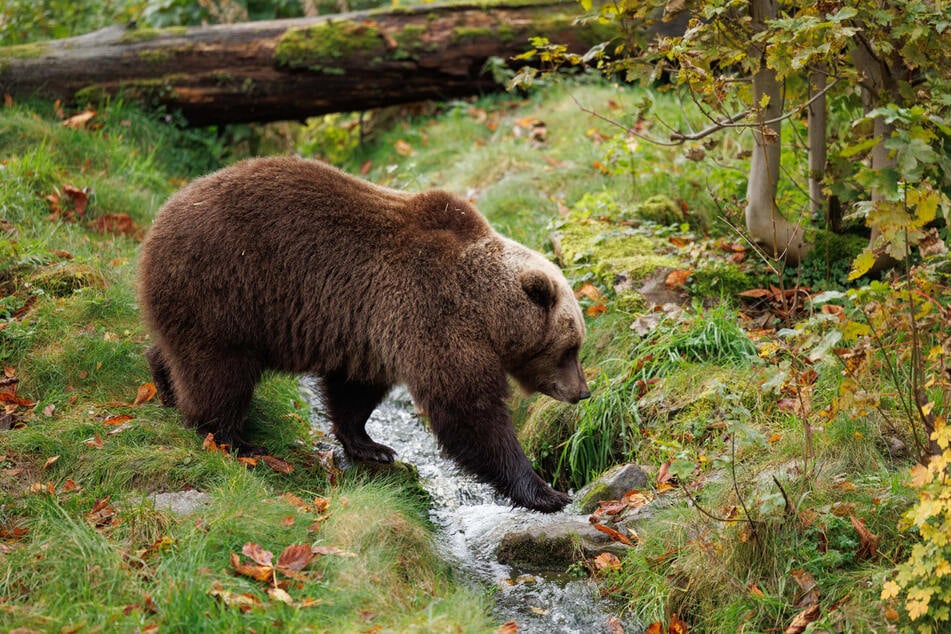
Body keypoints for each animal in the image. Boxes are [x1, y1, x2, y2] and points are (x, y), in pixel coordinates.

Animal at [139, 156, 588, 512]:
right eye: (570, 348)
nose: (582, 392)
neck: (486, 310)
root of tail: (160, 219)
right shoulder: (434, 313)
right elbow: (468, 409)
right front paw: (544, 491)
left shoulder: (372, 327)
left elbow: (354, 391)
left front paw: (372, 446)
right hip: (226, 288)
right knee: (219, 372)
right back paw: (235, 439)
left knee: (179, 352)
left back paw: (164, 383)